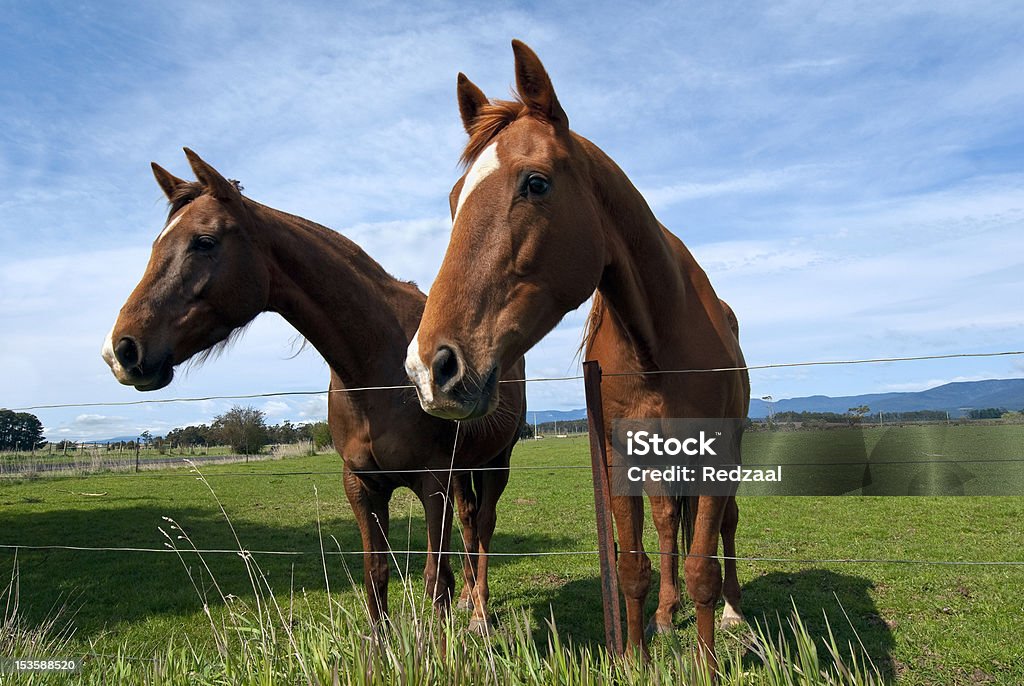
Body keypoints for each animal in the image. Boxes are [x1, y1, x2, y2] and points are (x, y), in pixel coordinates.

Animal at [101, 150, 528, 634]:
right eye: (156, 244)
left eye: (204, 241)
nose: (121, 349)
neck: (376, 368)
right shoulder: (362, 485)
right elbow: (376, 574)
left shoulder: (432, 482)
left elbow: (435, 578)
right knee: (471, 523)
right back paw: (471, 600)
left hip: (496, 461)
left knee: (485, 525)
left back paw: (479, 613)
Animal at [403, 43, 749, 671]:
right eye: (452, 199)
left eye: (536, 183)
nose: (430, 368)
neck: (657, 340)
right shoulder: (619, 457)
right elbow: (633, 565)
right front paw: (636, 658)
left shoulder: (714, 455)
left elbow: (703, 570)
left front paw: (708, 664)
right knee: (667, 525)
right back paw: (666, 616)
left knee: (725, 529)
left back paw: (734, 611)